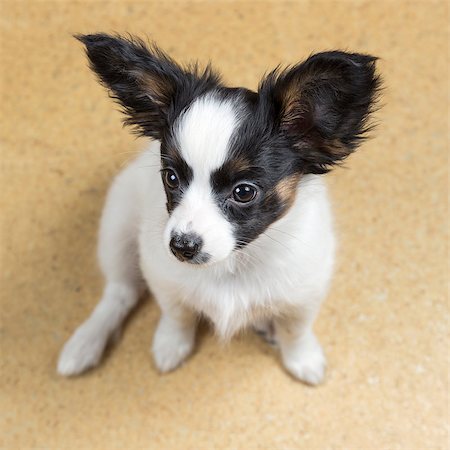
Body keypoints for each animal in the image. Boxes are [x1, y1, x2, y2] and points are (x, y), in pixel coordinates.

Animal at [56, 34, 380, 384]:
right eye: (170, 177)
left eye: (244, 192)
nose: (181, 246)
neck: (233, 266)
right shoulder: (163, 273)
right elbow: (177, 314)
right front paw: (170, 345)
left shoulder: (304, 288)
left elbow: (296, 329)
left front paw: (302, 359)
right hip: (117, 224)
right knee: (120, 292)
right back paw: (84, 343)